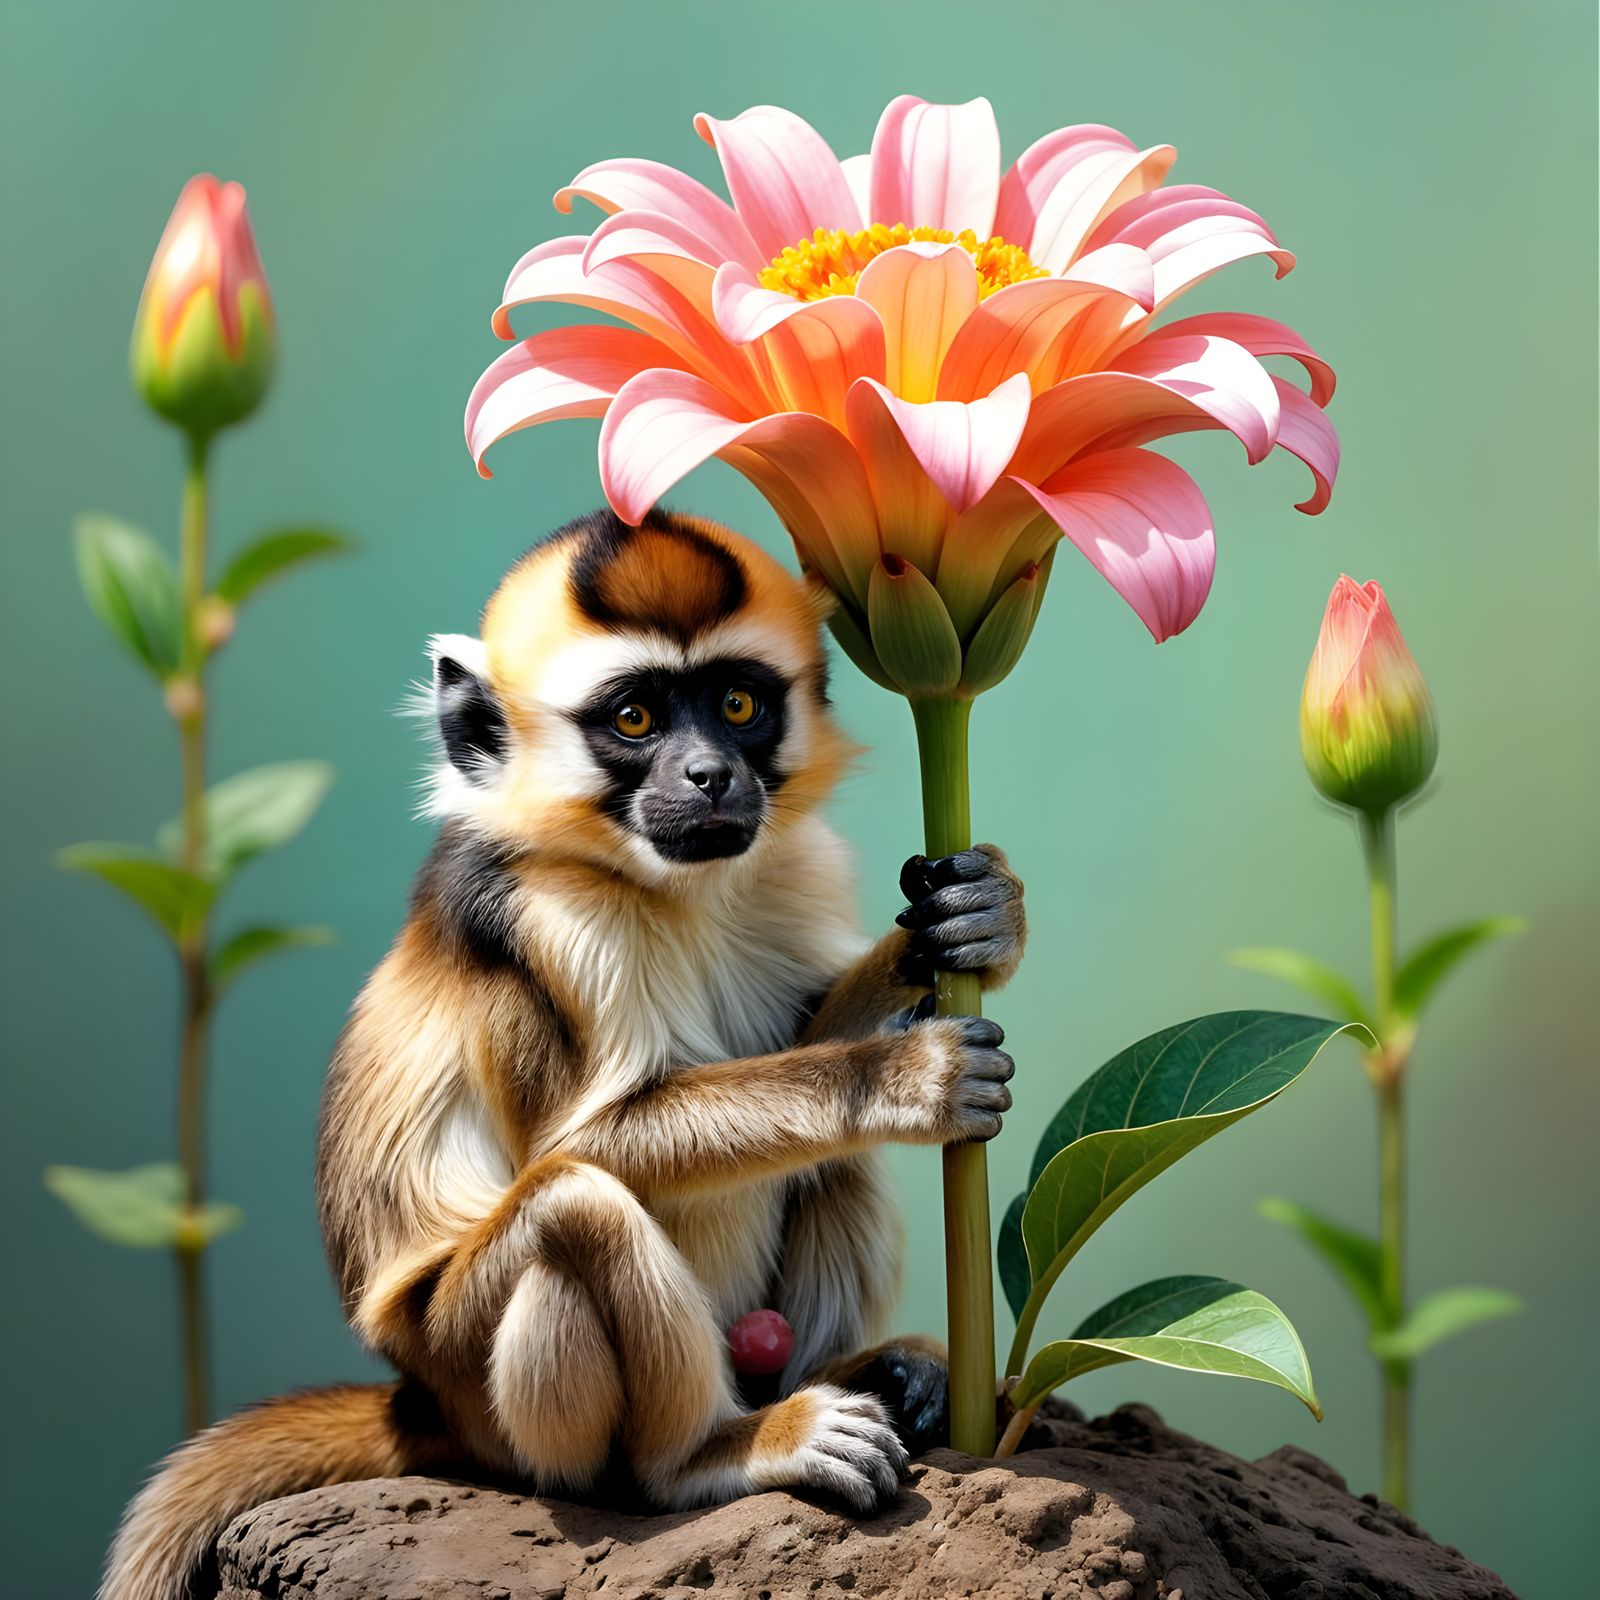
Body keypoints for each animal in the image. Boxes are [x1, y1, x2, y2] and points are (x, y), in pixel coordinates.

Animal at [102, 508, 1026, 1600]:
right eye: (633, 720)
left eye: (738, 704)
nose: (711, 774)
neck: (661, 885)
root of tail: (424, 1405)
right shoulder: (545, 923)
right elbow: (589, 1143)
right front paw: (908, 1078)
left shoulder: (793, 865)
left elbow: (807, 1033)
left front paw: (966, 926)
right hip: (479, 1381)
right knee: (575, 1210)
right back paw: (714, 1453)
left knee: (821, 1162)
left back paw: (861, 1373)